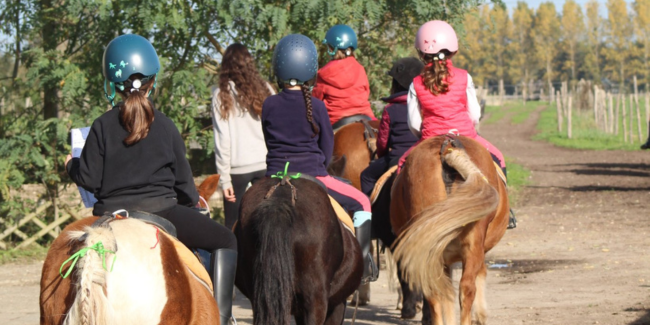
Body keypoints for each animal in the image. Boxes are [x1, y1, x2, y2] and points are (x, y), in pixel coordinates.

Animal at [388, 135, 508, 324]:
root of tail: (447, 148)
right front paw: (479, 316)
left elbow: (447, 294)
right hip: (471, 243)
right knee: (466, 288)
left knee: (436, 292)